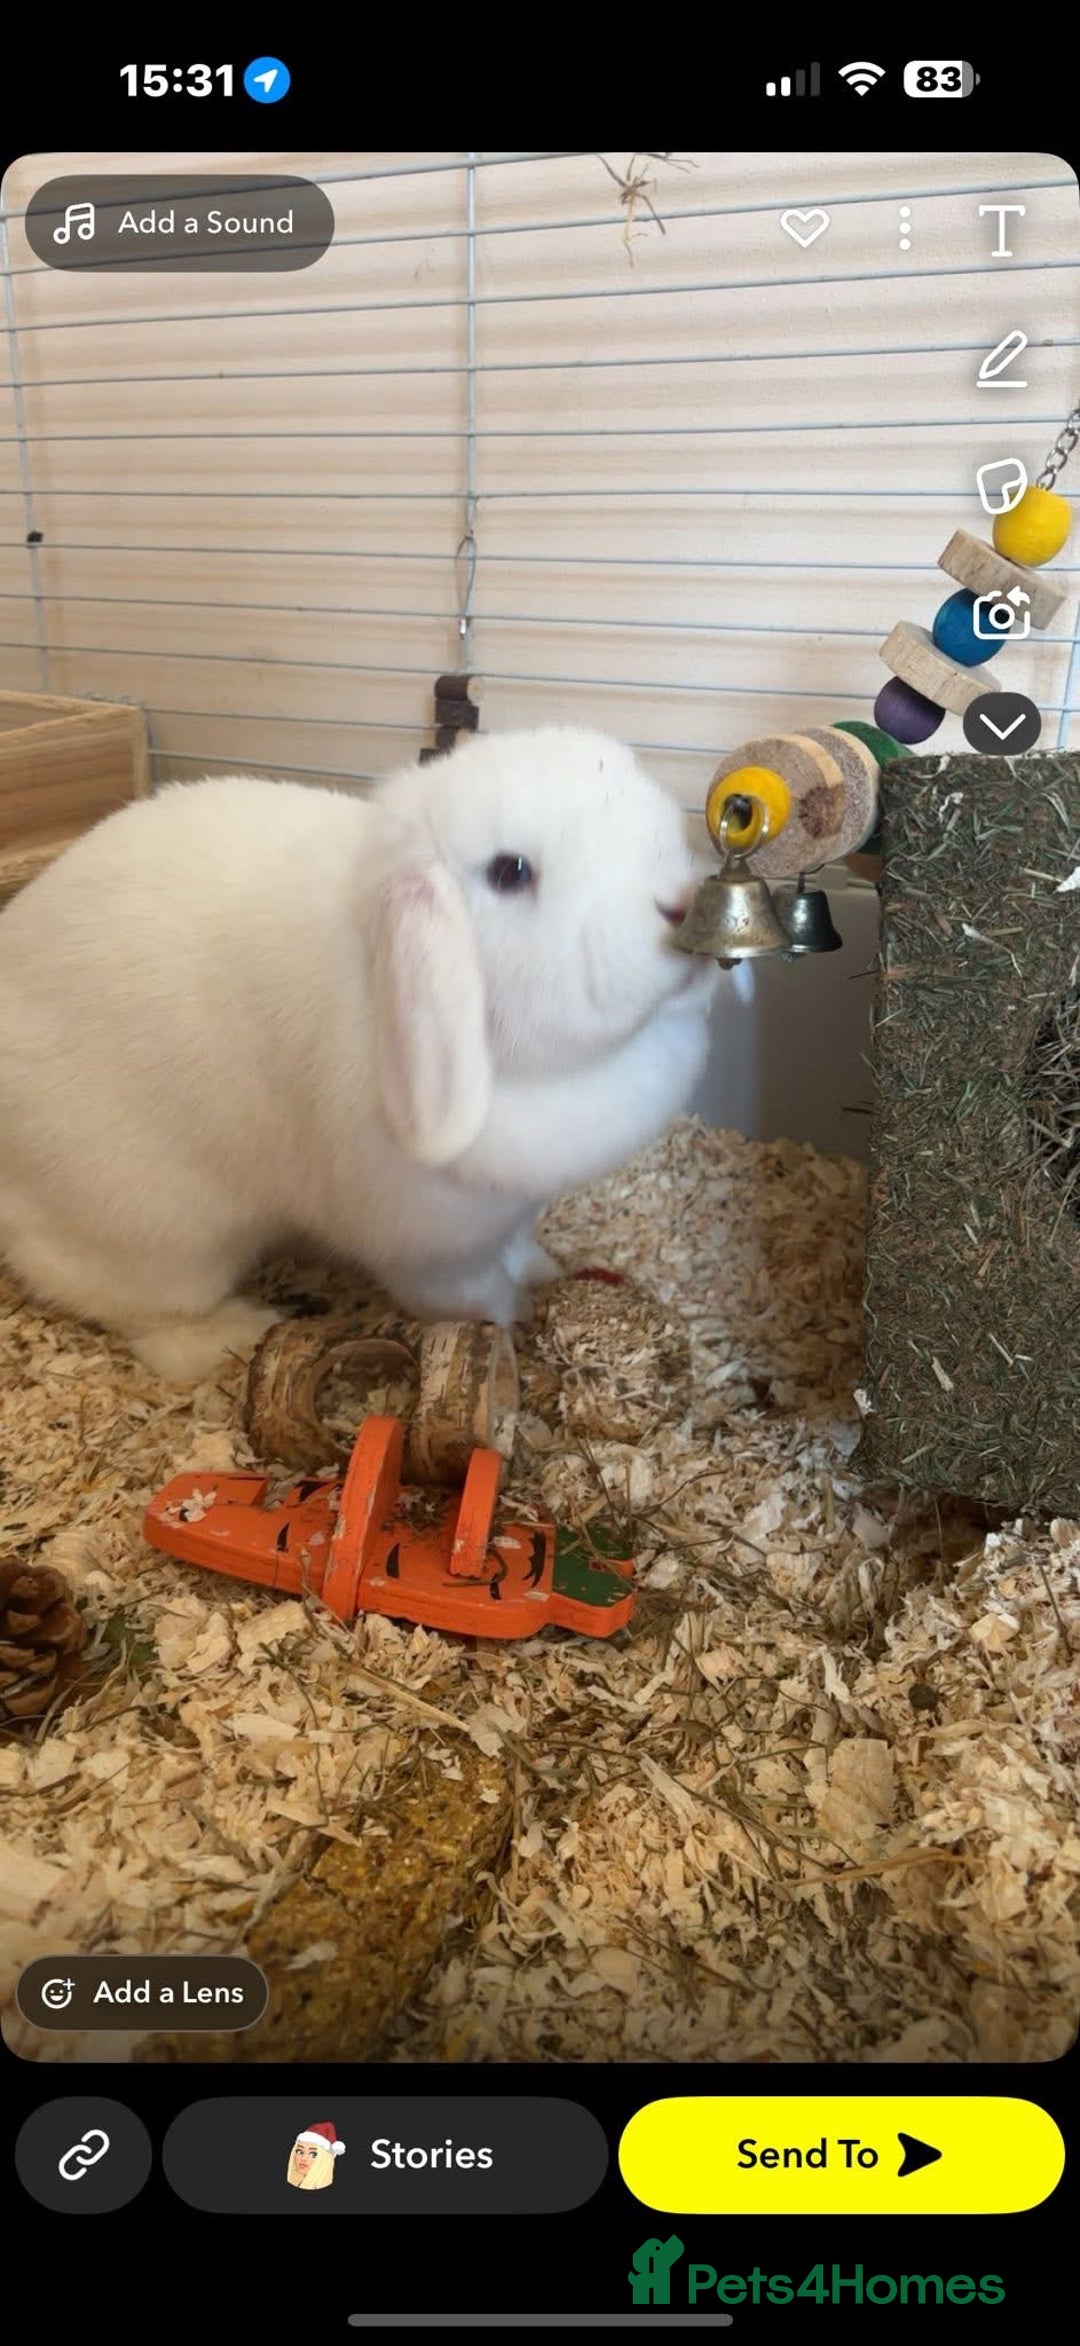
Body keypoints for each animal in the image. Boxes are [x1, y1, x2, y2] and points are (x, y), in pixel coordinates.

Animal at [0, 724, 718, 1380]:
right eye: (510, 871)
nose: (683, 904)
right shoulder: (432, 1247)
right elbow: (466, 1292)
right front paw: (511, 1313)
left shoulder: (509, 1215)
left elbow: (516, 1248)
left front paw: (543, 1268)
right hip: (159, 1233)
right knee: (137, 1309)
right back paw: (232, 1332)